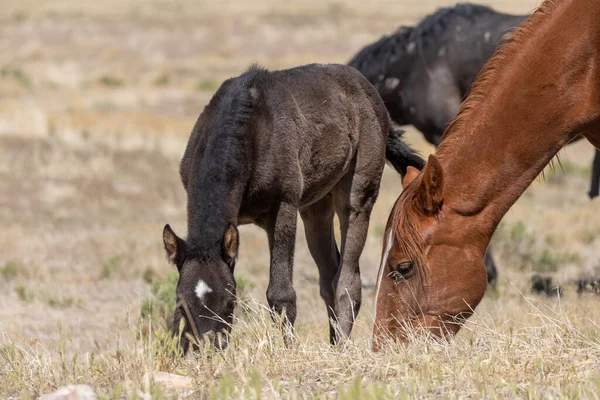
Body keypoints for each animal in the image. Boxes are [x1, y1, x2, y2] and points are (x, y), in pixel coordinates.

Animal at [162, 64, 424, 352]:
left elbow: (281, 294)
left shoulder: (283, 209)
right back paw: (333, 344)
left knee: (348, 280)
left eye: (231, 303)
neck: (248, 129)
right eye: (180, 302)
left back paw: (342, 347)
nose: (207, 350)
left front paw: (286, 351)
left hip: (357, 197)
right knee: (329, 277)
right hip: (315, 207)